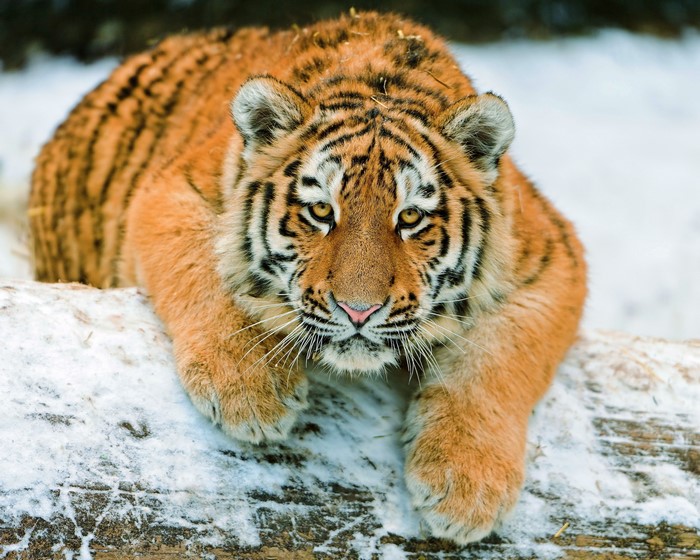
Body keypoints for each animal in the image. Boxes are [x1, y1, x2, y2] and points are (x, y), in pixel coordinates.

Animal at [29, 11, 587, 545]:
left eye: (409, 218)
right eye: (321, 211)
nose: (359, 311)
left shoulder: (553, 256)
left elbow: (497, 361)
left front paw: (466, 489)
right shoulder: (172, 190)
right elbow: (207, 274)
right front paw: (249, 392)